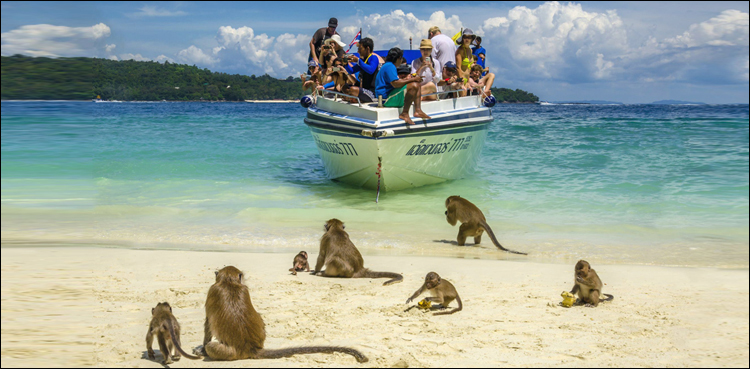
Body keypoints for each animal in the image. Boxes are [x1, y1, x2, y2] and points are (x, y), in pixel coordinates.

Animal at [195, 266, 368, 360]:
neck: (229, 282)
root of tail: (251, 348)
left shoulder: (212, 291)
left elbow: (208, 324)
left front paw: (202, 349)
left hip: (228, 352)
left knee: (212, 346)